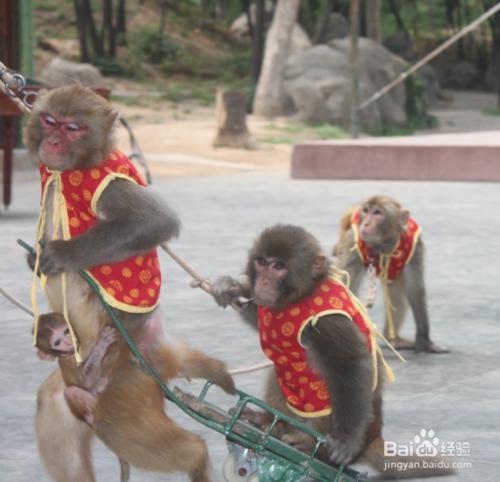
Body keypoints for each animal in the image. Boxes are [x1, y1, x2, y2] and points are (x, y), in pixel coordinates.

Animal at [23, 84, 234, 482]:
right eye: (50, 120)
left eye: (73, 127)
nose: (54, 141)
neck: (72, 169)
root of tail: (145, 346)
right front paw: (35, 260)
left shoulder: (112, 188)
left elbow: (155, 221)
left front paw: (62, 254)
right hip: (83, 380)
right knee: (57, 400)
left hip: (119, 378)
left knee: (172, 443)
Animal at [210, 223, 454, 478]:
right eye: (261, 262)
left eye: (278, 267)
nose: (263, 282)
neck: (303, 294)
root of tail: (374, 437)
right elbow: (258, 317)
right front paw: (230, 288)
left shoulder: (329, 322)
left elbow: (351, 362)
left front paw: (346, 440)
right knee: (282, 369)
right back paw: (268, 420)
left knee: (333, 381)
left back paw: (312, 448)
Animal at [332, 195, 450, 354]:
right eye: (366, 211)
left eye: (377, 213)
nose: (366, 223)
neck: (383, 245)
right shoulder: (352, 242)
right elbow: (345, 288)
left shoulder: (416, 248)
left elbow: (415, 290)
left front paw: (424, 340)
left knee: (396, 296)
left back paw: (393, 339)